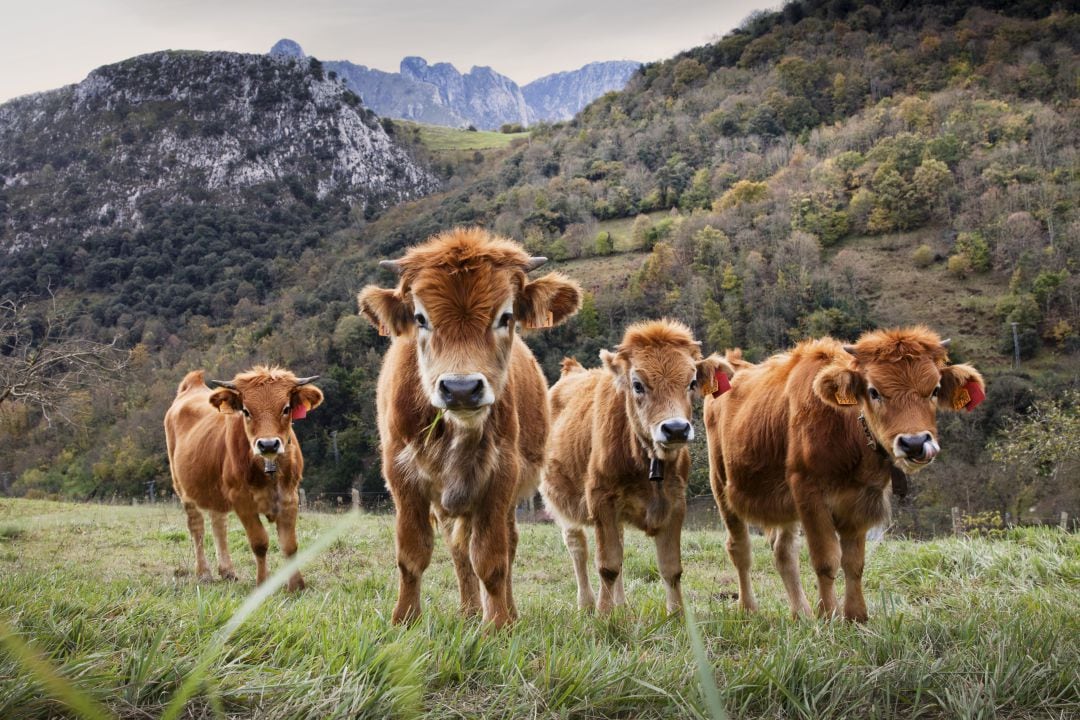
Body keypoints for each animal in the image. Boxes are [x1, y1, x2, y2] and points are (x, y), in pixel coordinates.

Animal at [159, 367, 319, 591]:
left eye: (286, 408)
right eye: (246, 411)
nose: (268, 444)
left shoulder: (290, 497)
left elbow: (290, 545)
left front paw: (296, 586)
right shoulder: (241, 500)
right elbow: (259, 542)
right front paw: (262, 583)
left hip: (215, 491)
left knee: (219, 525)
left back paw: (227, 571)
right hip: (183, 489)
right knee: (197, 527)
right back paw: (204, 573)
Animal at [356, 227, 583, 626]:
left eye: (506, 316)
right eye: (420, 318)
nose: (460, 388)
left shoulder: (500, 476)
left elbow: (492, 559)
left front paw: (499, 624)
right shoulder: (401, 475)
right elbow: (413, 554)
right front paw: (405, 619)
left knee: (505, 545)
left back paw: (504, 611)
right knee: (458, 549)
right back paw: (468, 611)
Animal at [540, 319, 734, 613]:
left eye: (691, 382)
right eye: (638, 384)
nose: (675, 428)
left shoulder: (676, 502)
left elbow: (670, 568)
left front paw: (676, 616)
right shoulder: (600, 499)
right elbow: (607, 566)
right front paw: (604, 615)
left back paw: (621, 604)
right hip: (560, 499)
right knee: (578, 547)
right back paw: (587, 604)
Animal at [708, 330, 989, 621]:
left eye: (934, 389)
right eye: (874, 391)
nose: (914, 443)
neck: (846, 428)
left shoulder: (860, 500)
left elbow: (854, 562)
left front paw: (856, 615)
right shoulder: (809, 494)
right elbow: (826, 559)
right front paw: (828, 615)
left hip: (783, 505)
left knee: (783, 552)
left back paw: (801, 613)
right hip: (721, 485)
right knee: (740, 549)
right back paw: (749, 608)